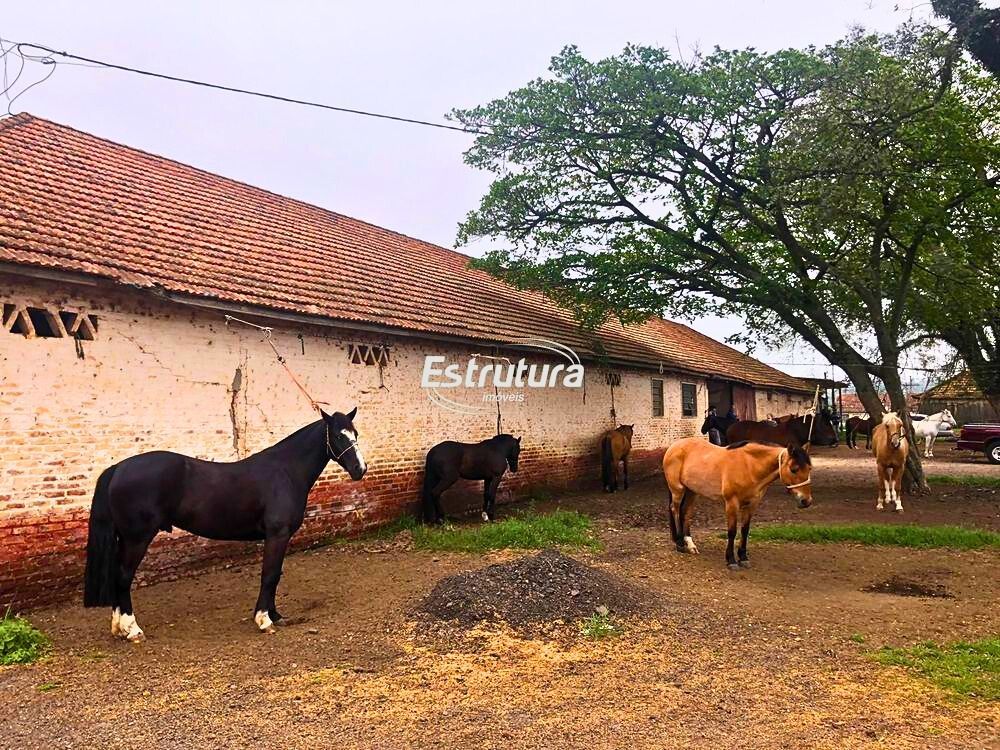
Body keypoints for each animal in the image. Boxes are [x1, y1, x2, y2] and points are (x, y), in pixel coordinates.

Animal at [85, 412, 368, 640]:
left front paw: (275, 615)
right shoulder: (277, 535)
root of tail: (118, 468)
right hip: (137, 539)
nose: (360, 469)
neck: (285, 471)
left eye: (355, 434)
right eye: (338, 436)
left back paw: (119, 628)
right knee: (123, 576)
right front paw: (264, 620)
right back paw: (133, 630)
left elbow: (276, 575)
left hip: (126, 539)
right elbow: (269, 575)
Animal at [664, 440, 812, 568]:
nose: (806, 501)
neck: (750, 466)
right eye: (794, 469)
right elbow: (732, 531)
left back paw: (690, 545)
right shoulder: (731, 503)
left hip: (692, 491)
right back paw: (679, 544)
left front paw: (743, 557)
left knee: (685, 512)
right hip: (678, 490)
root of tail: (674, 446)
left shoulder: (752, 505)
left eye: (809, 468)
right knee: (675, 510)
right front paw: (731, 560)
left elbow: (745, 530)